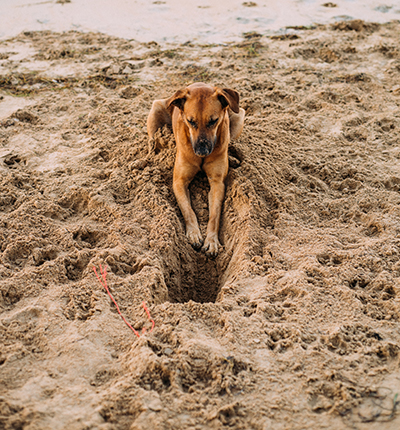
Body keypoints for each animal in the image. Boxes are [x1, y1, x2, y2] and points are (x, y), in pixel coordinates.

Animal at [148, 84, 245, 256]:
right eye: (190, 121)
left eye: (213, 121)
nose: (201, 151)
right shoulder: (179, 182)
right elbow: (188, 210)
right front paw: (194, 233)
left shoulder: (217, 183)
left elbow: (214, 215)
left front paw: (211, 241)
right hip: (156, 109)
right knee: (151, 143)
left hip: (239, 114)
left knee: (231, 140)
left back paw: (232, 158)